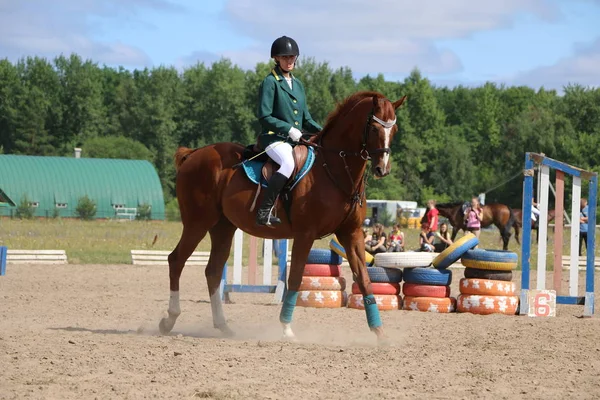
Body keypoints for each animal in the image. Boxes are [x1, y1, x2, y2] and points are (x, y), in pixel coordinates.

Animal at [158, 92, 408, 346]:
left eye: (395, 129)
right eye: (375, 128)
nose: (382, 169)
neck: (333, 167)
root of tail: (194, 154)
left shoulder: (352, 233)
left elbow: (365, 279)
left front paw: (380, 333)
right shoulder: (305, 234)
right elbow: (295, 278)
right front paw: (286, 329)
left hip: (223, 227)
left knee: (213, 271)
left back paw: (222, 326)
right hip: (197, 223)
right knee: (176, 260)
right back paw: (169, 320)